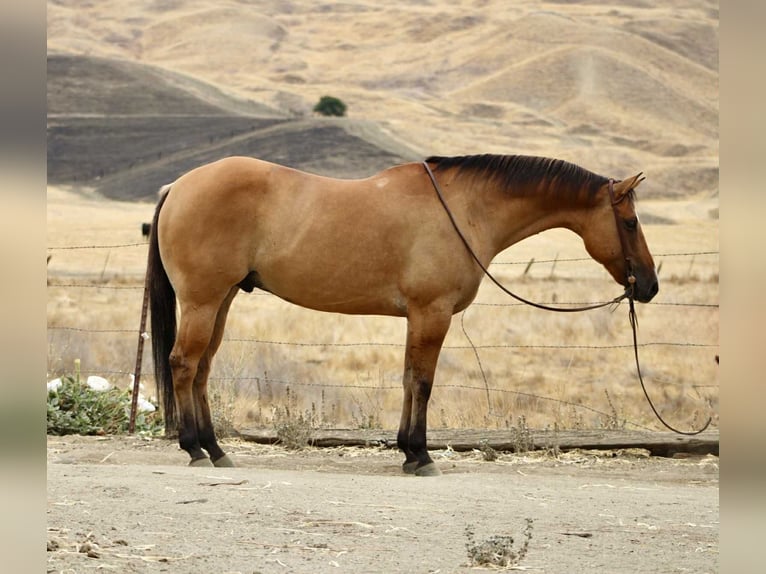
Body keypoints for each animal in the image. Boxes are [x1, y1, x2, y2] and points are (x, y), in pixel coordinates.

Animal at [147, 154, 658, 475]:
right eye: (630, 222)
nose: (649, 286)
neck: (464, 209)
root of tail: (179, 185)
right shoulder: (432, 314)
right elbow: (423, 382)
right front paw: (421, 455)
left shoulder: (419, 318)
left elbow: (410, 378)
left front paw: (408, 451)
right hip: (203, 301)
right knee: (184, 364)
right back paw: (195, 448)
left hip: (223, 300)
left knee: (201, 369)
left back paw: (214, 448)